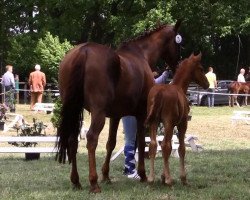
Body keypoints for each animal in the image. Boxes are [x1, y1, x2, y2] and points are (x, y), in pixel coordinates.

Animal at [56, 20, 182, 192]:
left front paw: (106, 175)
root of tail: (84, 50)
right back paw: (93, 182)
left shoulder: (115, 116)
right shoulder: (141, 114)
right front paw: (142, 174)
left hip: (74, 110)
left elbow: (111, 143)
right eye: (178, 43)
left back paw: (76, 181)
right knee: (91, 139)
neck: (140, 54)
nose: (178, 65)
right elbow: (140, 142)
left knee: (72, 139)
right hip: (98, 113)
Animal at [146, 53, 208, 186]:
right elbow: (181, 148)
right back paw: (169, 180)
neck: (179, 86)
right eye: (201, 68)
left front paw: (162, 176)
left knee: (153, 145)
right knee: (165, 145)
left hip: (154, 123)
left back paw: (151, 178)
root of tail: (159, 92)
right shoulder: (182, 124)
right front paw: (182, 178)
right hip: (168, 123)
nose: (207, 84)